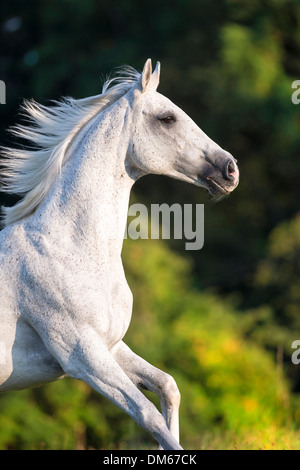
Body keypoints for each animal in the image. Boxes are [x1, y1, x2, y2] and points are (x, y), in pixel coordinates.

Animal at [0, 60, 239, 450]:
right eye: (168, 118)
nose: (231, 169)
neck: (67, 246)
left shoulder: (111, 346)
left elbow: (168, 387)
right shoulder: (84, 357)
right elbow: (148, 415)